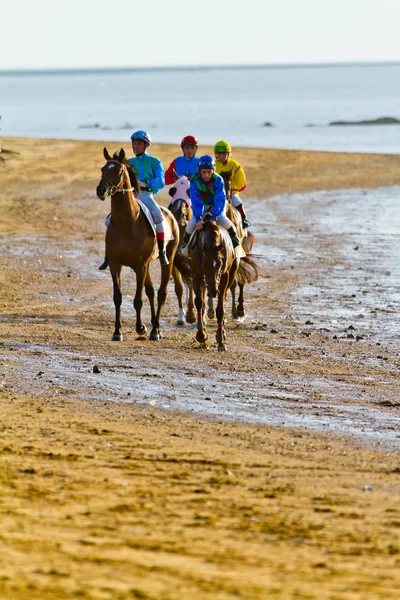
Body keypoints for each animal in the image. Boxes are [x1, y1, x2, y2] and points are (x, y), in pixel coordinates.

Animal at [97, 146, 191, 342]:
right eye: (103, 169)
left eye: (118, 171)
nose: (101, 190)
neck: (127, 222)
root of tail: (171, 215)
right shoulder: (116, 264)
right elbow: (118, 297)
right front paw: (117, 331)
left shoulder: (140, 265)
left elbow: (138, 299)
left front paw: (140, 327)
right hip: (146, 265)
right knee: (151, 291)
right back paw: (153, 327)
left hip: (167, 261)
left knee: (161, 292)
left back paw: (156, 330)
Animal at [190, 214, 238, 352]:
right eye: (204, 265)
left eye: (220, 264)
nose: (213, 291)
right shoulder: (197, 274)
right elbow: (199, 302)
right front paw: (201, 334)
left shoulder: (224, 276)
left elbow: (220, 308)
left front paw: (221, 338)